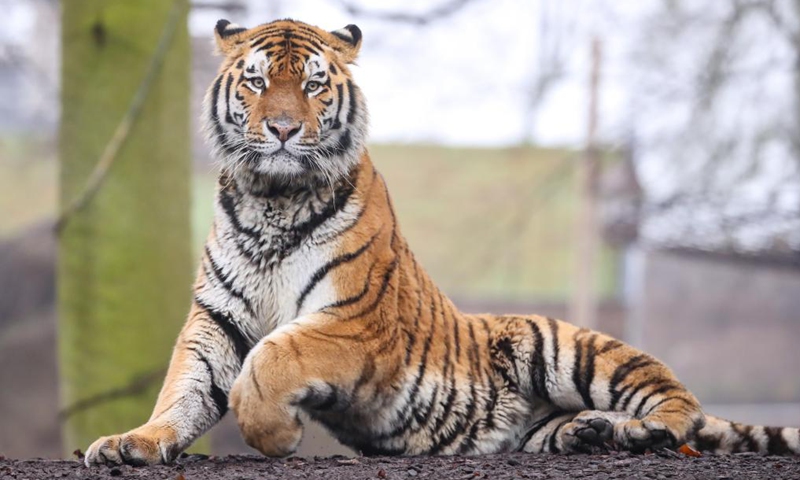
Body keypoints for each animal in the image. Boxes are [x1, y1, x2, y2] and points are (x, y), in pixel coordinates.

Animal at [84, 18, 796, 464]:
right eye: (257, 81)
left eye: (312, 84)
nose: (283, 129)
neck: (272, 201)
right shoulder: (218, 317)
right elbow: (184, 387)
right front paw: (134, 441)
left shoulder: (355, 321)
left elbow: (269, 361)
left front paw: (275, 435)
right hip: (542, 418)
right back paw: (596, 433)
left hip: (565, 345)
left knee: (678, 397)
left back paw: (645, 429)